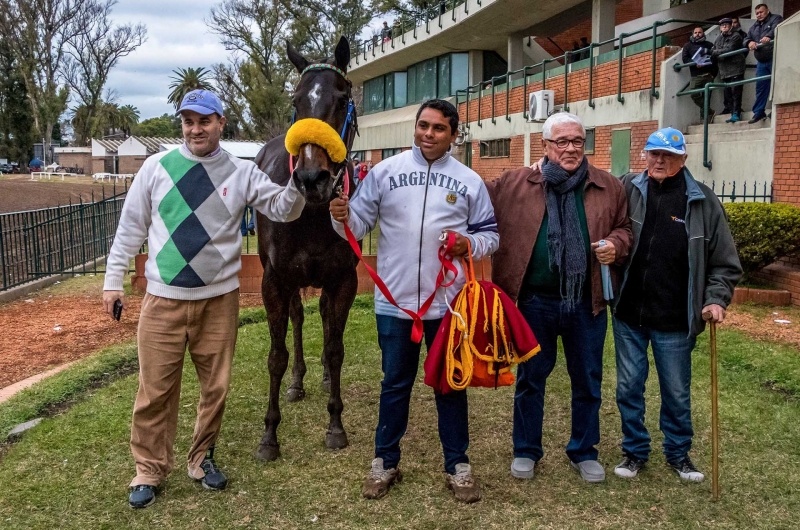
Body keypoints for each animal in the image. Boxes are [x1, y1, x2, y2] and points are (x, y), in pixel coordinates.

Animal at [253, 36, 360, 458]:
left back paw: (327, 377)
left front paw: (336, 424)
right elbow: (276, 355)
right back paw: (297, 382)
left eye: (342, 99)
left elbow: (335, 347)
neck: (313, 213)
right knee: (298, 319)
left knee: (326, 316)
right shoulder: (274, 280)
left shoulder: (344, 279)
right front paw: (270, 433)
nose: (312, 178)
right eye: (296, 101)